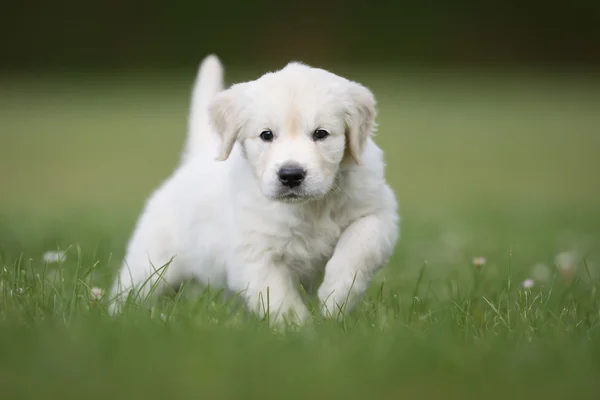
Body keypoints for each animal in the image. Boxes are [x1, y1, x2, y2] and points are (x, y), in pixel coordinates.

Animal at [109, 54, 398, 324]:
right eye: (266, 135)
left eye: (321, 133)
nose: (291, 175)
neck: (310, 208)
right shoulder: (255, 253)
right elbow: (278, 297)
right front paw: (300, 331)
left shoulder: (377, 214)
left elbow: (358, 249)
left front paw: (335, 298)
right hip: (151, 261)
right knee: (132, 289)